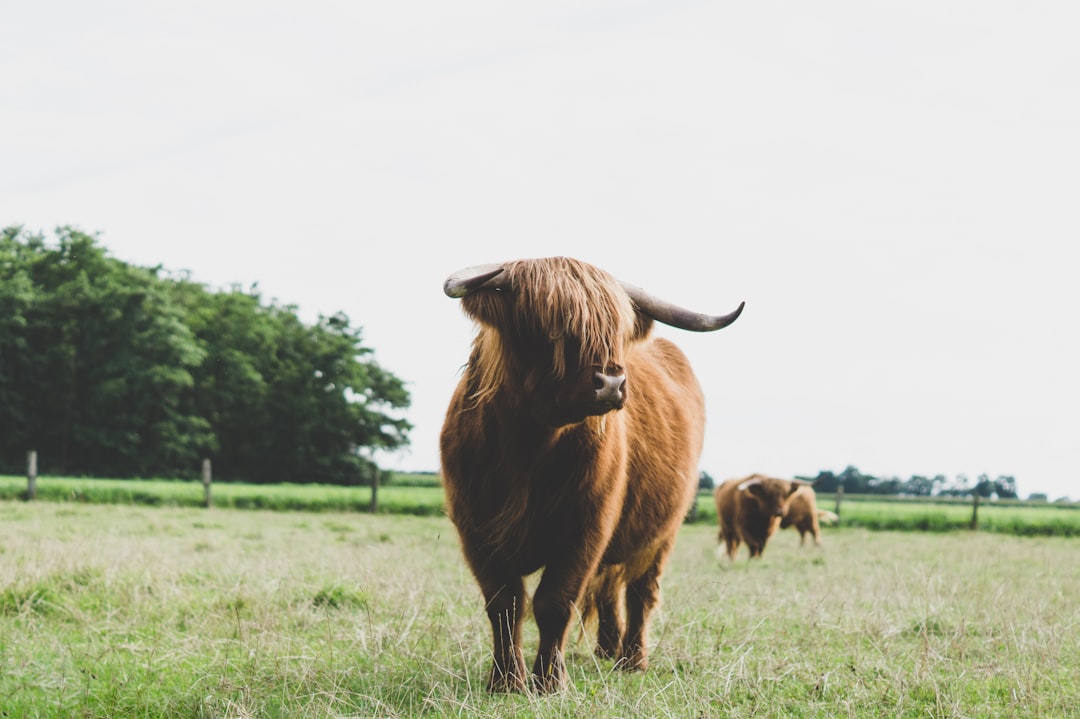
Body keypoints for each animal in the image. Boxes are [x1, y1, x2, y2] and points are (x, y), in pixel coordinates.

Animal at [439, 257, 743, 692]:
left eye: (614, 329)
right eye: (547, 324)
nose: (611, 383)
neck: (527, 448)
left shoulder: (586, 526)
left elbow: (554, 600)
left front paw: (550, 682)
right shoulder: (476, 527)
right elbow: (504, 603)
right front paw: (506, 681)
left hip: (663, 533)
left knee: (640, 592)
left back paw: (632, 660)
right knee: (609, 589)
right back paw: (606, 649)